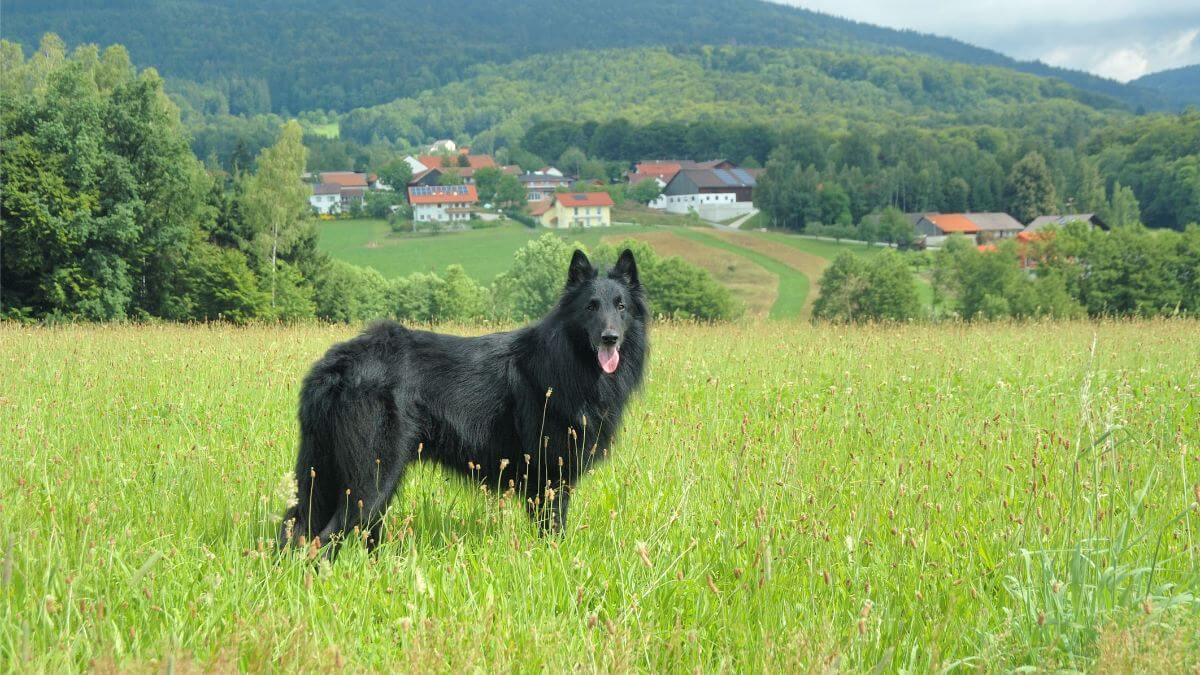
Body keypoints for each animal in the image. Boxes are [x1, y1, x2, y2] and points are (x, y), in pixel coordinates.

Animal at [279, 248, 648, 552]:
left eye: (621, 306)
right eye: (590, 306)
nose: (610, 338)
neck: (565, 360)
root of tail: (337, 363)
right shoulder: (550, 479)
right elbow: (553, 531)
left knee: (297, 527)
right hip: (372, 478)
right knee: (325, 537)